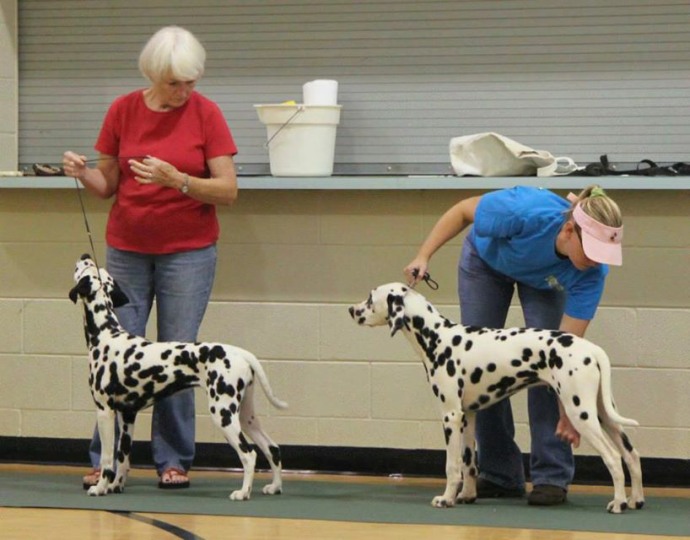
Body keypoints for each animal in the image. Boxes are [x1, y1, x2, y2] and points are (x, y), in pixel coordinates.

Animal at [69, 254, 287, 500]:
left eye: (85, 268)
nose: (85, 255)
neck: (106, 333)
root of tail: (241, 353)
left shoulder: (105, 411)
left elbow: (108, 459)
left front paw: (101, 487)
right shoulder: (127, 416)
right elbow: (123, 458)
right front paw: (116, 485)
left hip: (223, 415)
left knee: (249, 454)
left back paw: (242, 492)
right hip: (244, 416)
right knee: (272, 448)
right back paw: (275, 486)